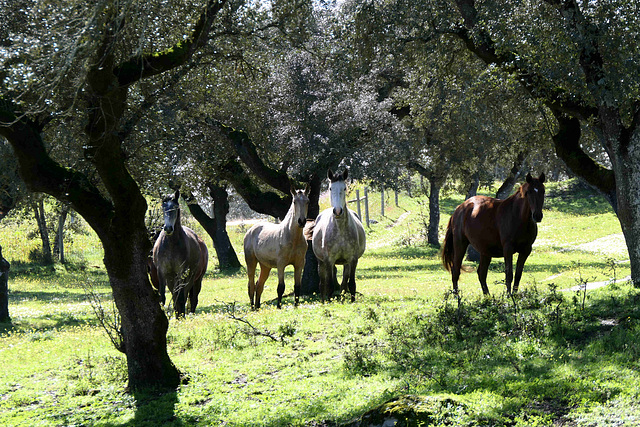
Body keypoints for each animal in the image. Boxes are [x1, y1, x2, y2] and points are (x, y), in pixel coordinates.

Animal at [304, 169, 364, 302]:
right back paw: (323, 301)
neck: (340, 230)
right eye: (330, 188)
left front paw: (352, 301)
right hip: (321, 263)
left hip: (346, 263)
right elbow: (330, 285)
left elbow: (351, 284)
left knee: (344, 283)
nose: (337, 211)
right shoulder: (329, 260)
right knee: (322, 284)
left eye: (345, 188)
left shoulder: (353, 259)